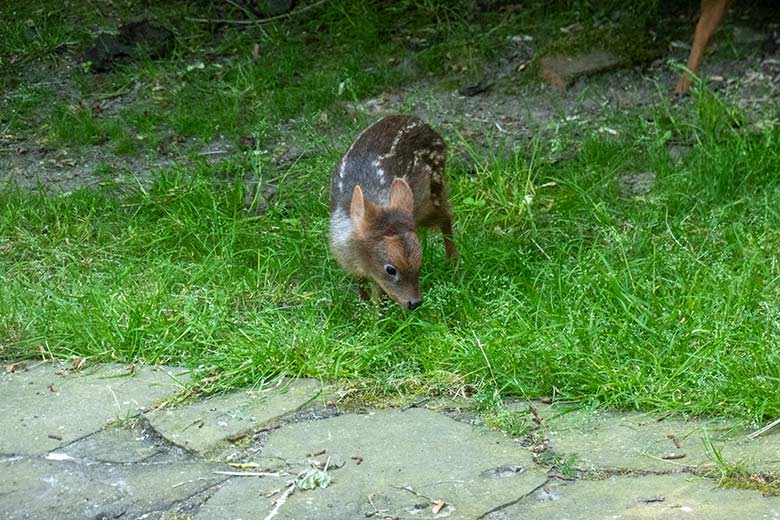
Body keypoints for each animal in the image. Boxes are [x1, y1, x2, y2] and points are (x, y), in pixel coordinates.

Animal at [330, 115, 458, 308]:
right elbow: (361, 283)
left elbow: (380, 297)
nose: (414, 303)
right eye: (390, 269)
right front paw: (363, 305)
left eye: (419, 262)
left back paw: (454, 264)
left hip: (431, 194)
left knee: (446, 216)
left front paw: (376, 315)